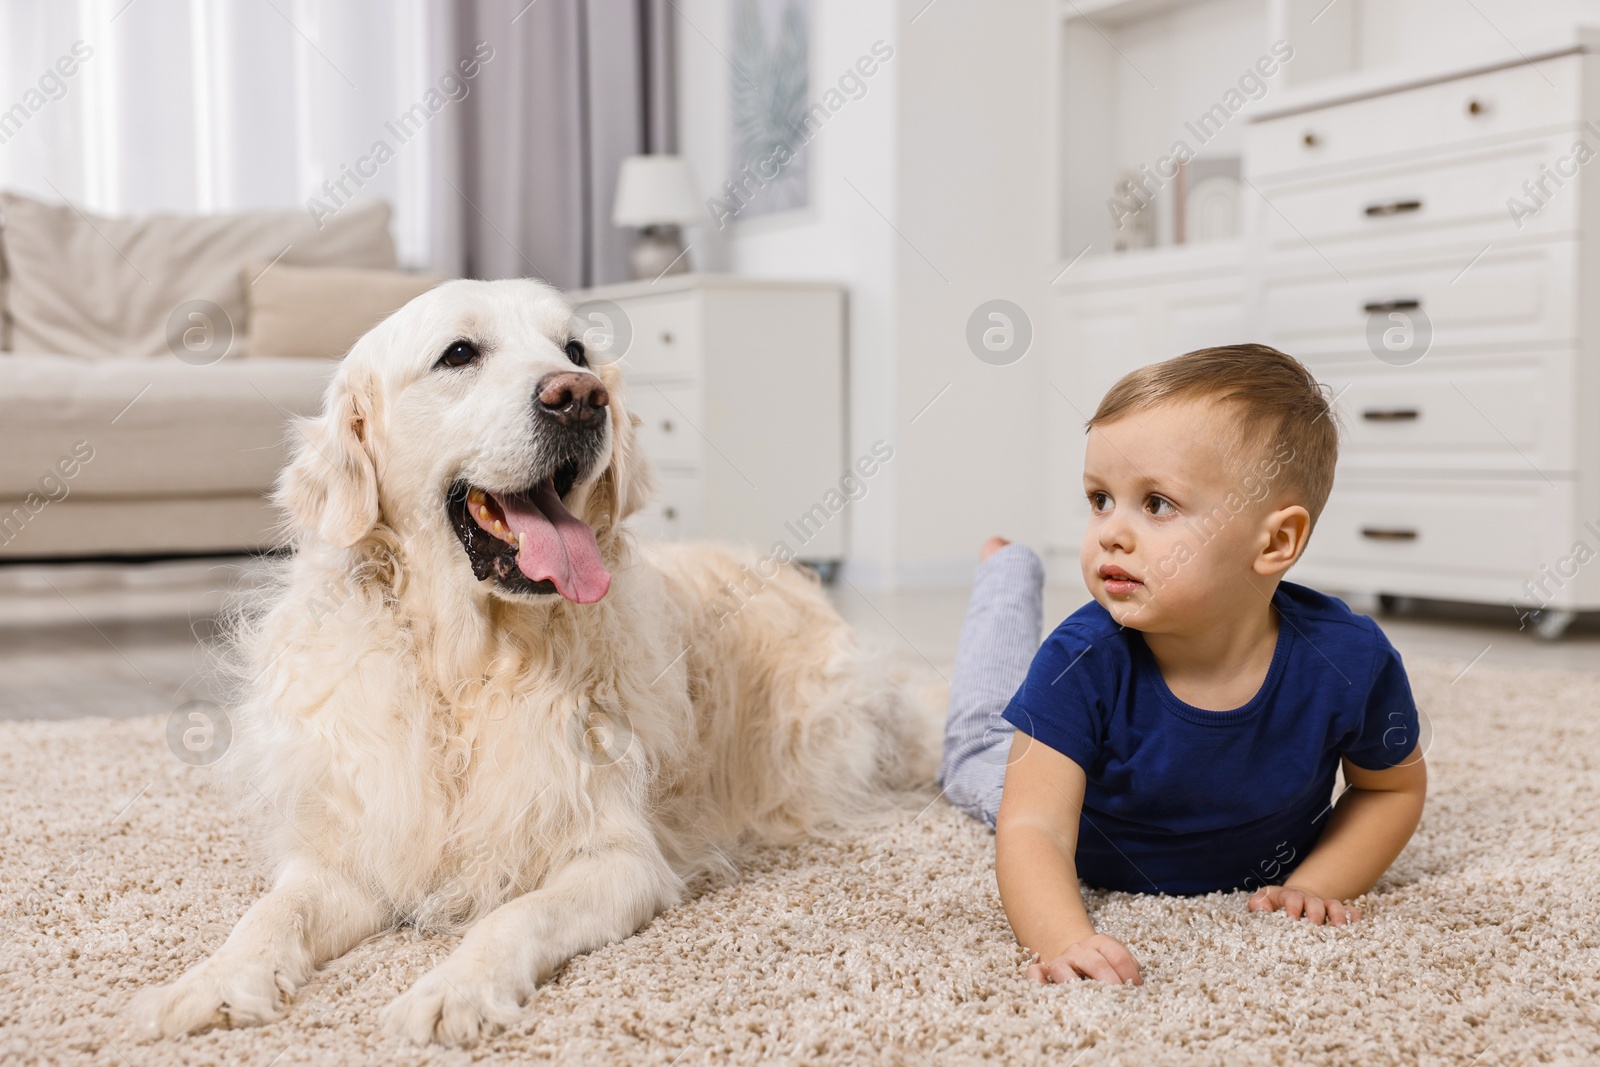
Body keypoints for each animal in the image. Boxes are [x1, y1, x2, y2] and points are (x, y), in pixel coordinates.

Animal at [131, 278, 934, 1049]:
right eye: (459, 353)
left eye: (576, 349)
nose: (581, 396)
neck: (468, 668)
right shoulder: (351, 849)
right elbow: (270, 914)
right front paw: (212, 979)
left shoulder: (619, 858)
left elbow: (515, 915)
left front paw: (452, 989)